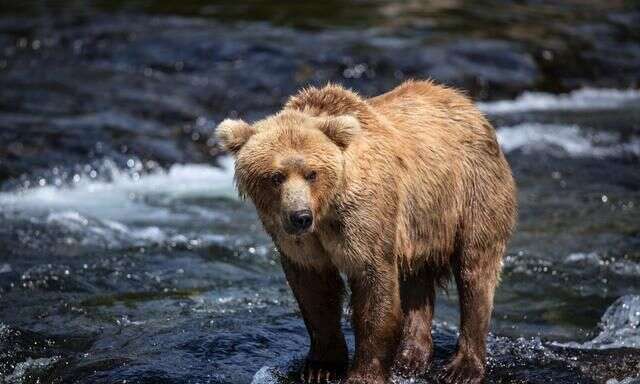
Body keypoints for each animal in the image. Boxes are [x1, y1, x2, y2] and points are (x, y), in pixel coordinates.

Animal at [218, 79, 516, 382]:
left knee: (475, 270)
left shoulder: (365, 219)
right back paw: (410, 358)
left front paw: (363, 373)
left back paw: (463, 367)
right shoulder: (301, 244)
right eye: (275, 177)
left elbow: (374, 287)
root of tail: (466, 103)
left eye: (312, 173)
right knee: (417, 281)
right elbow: (315, 293)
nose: (300, 217)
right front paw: (321, 367)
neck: (327, 210)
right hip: (420, 224)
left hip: (471, 191)